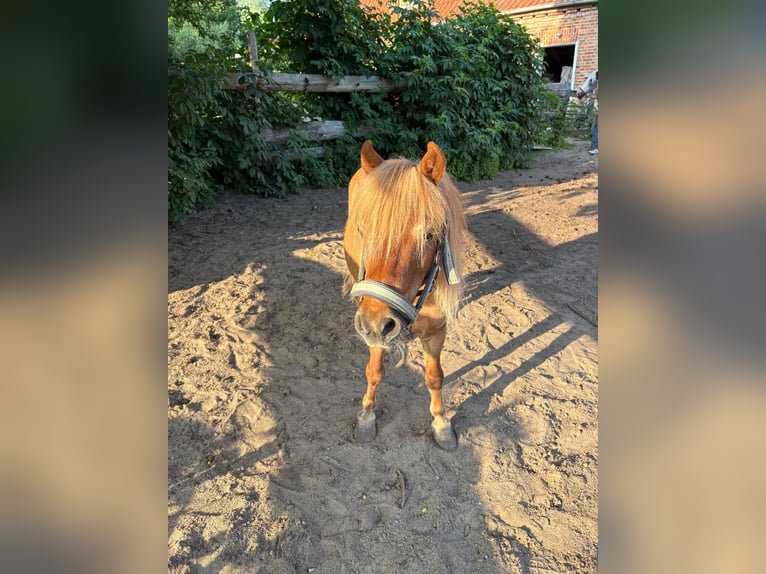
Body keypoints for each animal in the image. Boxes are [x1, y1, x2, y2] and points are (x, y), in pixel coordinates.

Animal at [342, 140, 467, 450]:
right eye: (363, 229)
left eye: (429, 235)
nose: (375, 323)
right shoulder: (376, 329)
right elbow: (374, 372)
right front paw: (366, 417)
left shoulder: (436, 331)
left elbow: (435, 377)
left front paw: (441, 423)